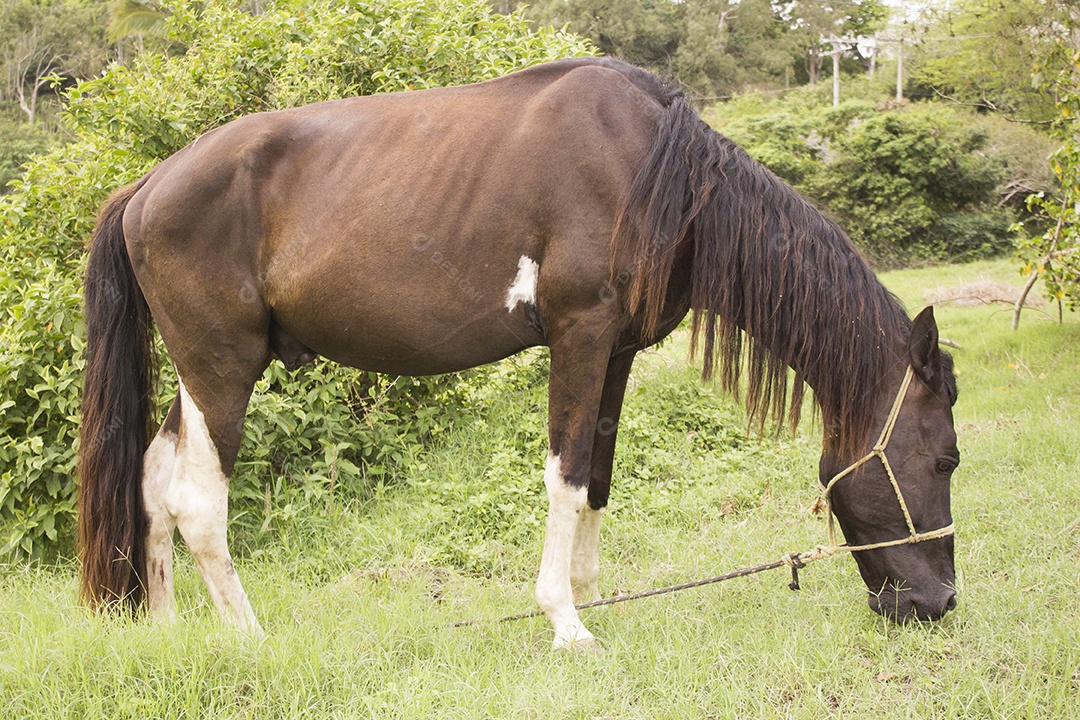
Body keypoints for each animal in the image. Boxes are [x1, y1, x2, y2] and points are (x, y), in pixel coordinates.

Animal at [78, 57, 959, 648]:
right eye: (946, 459)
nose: (940, 603)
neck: (650, 171)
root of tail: (148, 185)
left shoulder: (618, 352)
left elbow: (597, 477)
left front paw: (592, 599)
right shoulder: (579, 335)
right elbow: (564, 475)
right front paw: (565, 623)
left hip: (197, 378)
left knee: (153, 483)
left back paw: (165, 628)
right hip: (222, 369)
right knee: (198, 503)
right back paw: (249, 638)